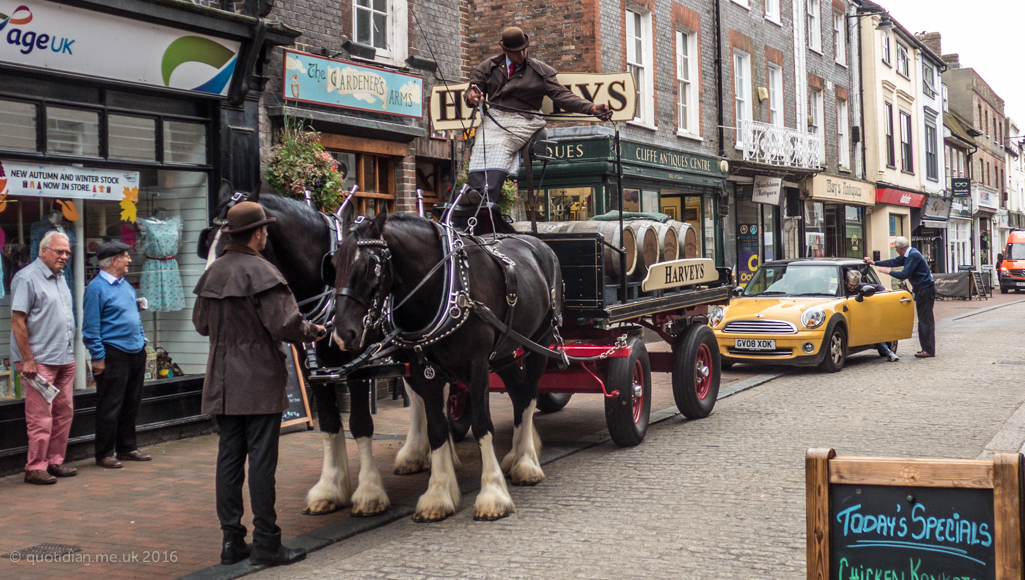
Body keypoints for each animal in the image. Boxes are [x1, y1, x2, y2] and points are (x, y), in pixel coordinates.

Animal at [198, 187, 432, 518]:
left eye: (229, 245)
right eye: (206, 242)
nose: (204, 303)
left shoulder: (357, 367)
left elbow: (360, 424)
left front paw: (369, 494)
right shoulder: (316, 372)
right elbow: (330, 425)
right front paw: (330, 489)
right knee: (418, 396)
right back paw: (415, 454)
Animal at [332, 212, 565, 522]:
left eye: (371, 266)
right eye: (333, 264)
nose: (341, 335)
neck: (442, 287)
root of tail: (539, 244)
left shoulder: (476, 367)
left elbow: (482, 425)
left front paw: (493, 495)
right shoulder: (425, 371)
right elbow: (437, 429)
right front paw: (438, 496)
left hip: (540, 341)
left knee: (528, 396)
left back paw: (527, 462)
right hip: (503, 351)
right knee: (519, 391)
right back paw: (515, 457)